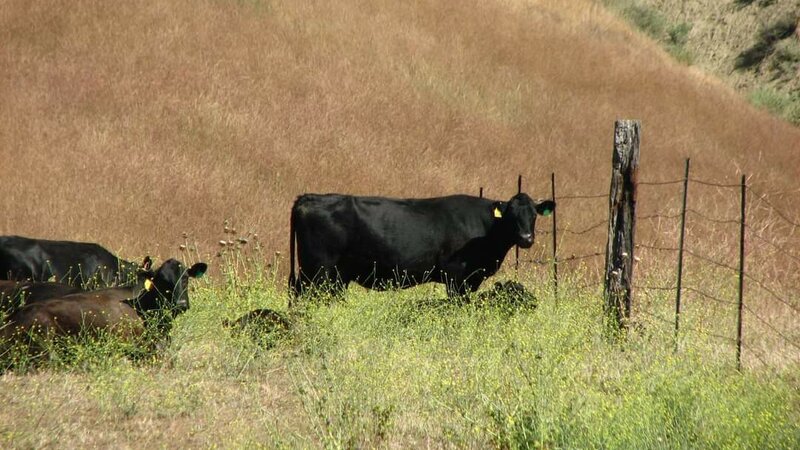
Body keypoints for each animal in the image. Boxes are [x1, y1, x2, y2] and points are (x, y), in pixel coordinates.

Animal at [288, 193, 554, 301]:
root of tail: (308, 197)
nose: (526, 238)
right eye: (511, 215)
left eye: (534, 215)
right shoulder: (456, 276)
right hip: (318, 271)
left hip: (335, 276)